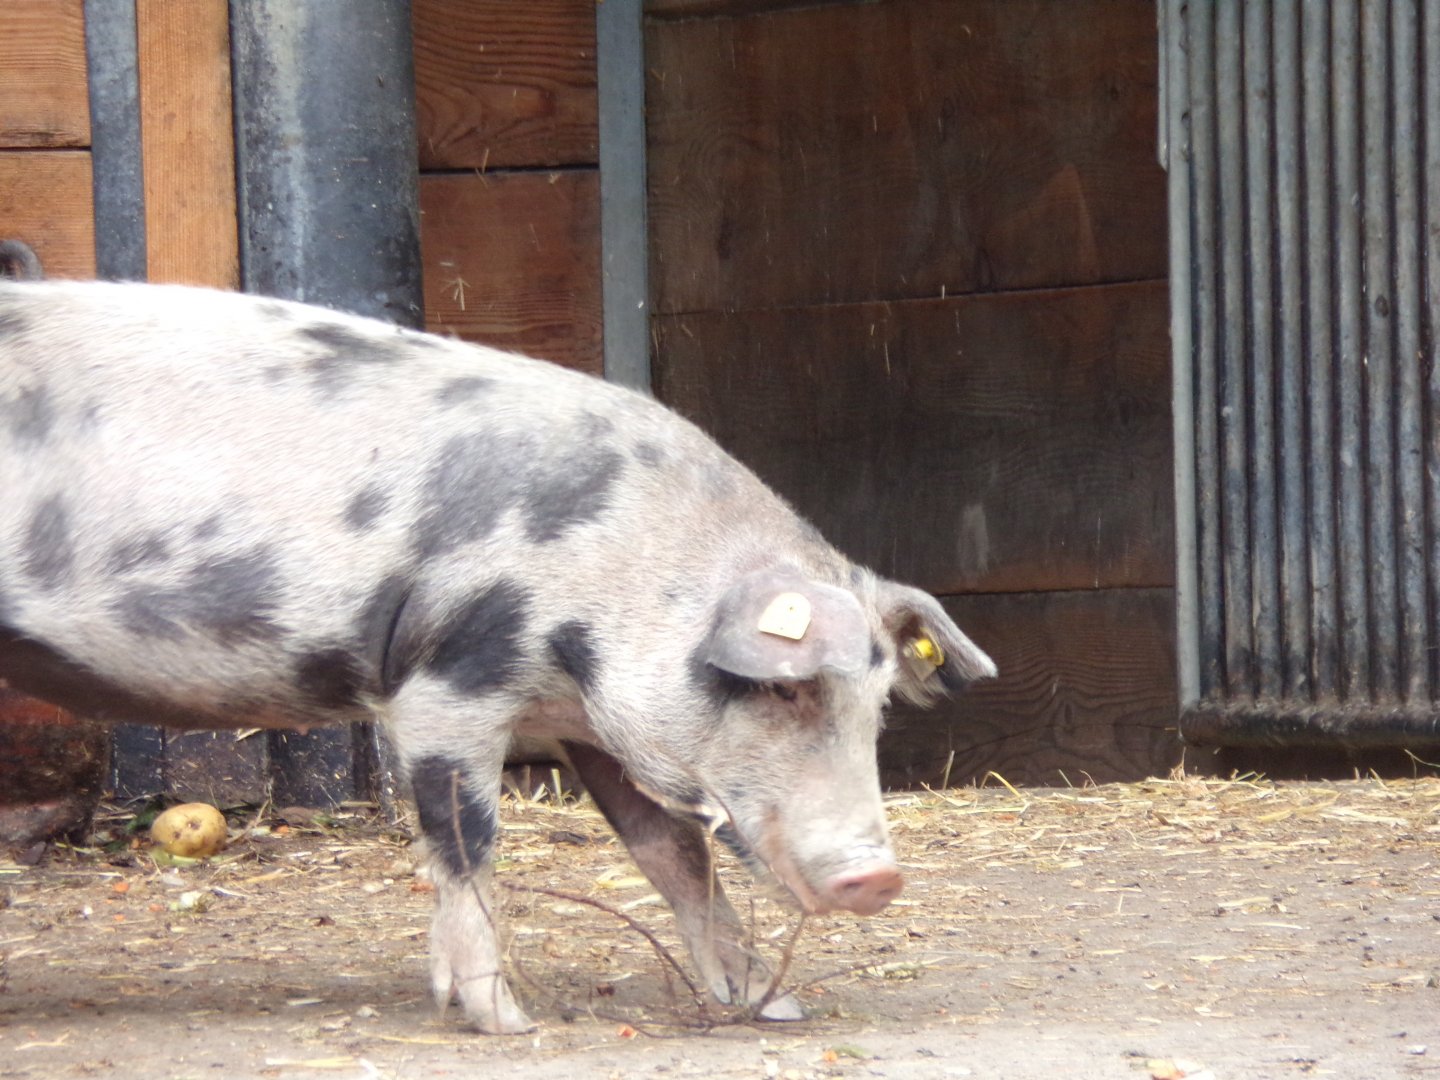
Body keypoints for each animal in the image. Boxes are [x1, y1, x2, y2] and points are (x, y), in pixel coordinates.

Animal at [0, 279, 996, 1033]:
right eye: (785, 691)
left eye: (874, 706)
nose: (879, 875)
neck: (623, 570)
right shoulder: (448, 683)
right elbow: (468, 839)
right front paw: (506, 1021)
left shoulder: (599, 731)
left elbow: (674, 857)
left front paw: (770, 1007)